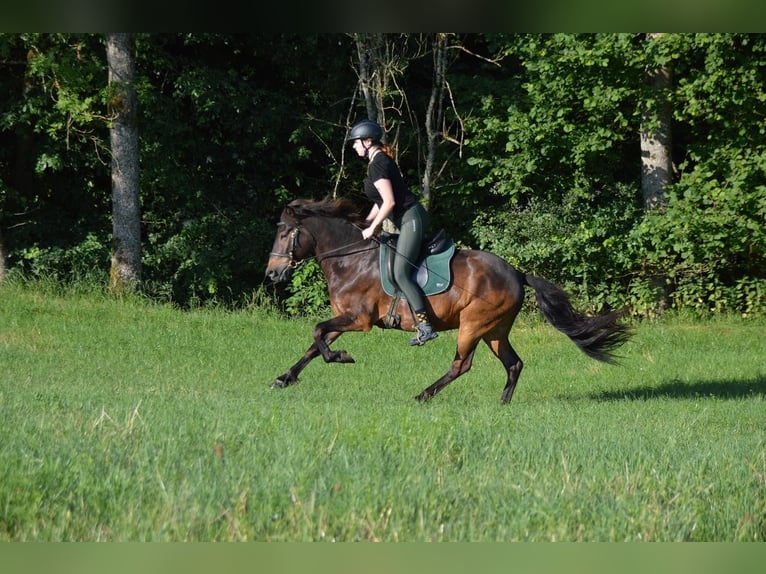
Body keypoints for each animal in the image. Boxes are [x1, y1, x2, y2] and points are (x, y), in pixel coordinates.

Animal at [265, 197, 632, 404]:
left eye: (283, 233)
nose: (272, 274)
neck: (351, 259)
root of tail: (517, 272)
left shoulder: (359, 320)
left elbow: (317, 333)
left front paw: (341, 356)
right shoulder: (345, 317)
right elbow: (315, 344)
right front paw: (285, 378)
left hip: (472, 325)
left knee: (461, 364)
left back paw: (423, 394)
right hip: (494, 330)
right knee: (513, 363)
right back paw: (502, 403)